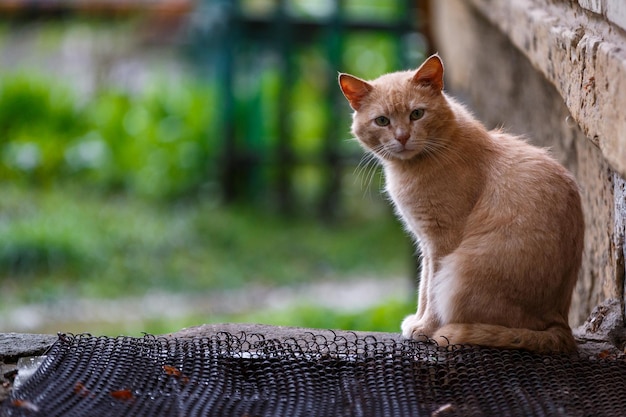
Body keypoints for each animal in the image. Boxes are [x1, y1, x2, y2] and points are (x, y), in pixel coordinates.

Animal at [338, 54, 584, 352]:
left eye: (416, 114)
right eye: (382, 121)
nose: (402, 136)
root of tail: (560, 324)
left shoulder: (442, 240)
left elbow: (431, 291)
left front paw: (426, 327)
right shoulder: (426, 243)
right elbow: (423, 286)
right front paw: (417, 321)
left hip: (458, 273)